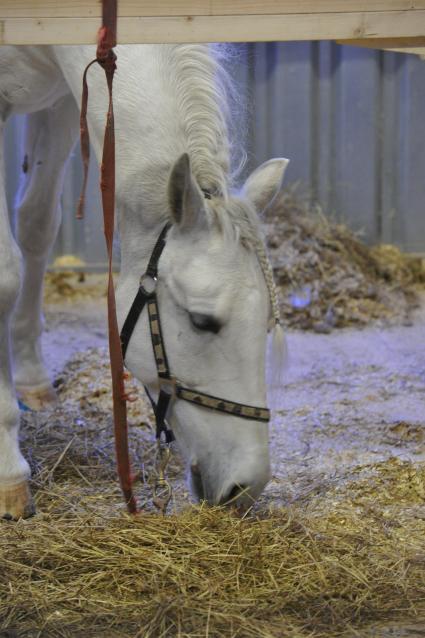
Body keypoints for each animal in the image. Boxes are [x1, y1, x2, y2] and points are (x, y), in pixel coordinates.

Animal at [0, 45, 286, 520]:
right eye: (202, 321)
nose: (246, 487)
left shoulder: (63, 105)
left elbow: (38, 225)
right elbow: (7, 275)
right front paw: (9, 470)